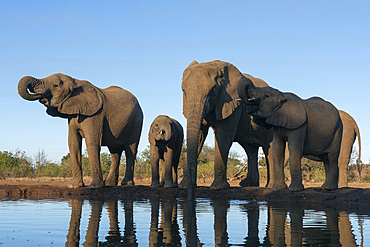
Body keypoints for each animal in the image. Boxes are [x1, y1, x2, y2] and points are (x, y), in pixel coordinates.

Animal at [180, 60, 274, 191]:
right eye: (183, 90)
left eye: (213, 90)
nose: (191, 187)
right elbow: (199, 136)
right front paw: (183, 186)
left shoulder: (234, 103)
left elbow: (223, 137)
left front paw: (218, 188)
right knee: (250, 149)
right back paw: (248, 184)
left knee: (270, 148)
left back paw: (270, 186)